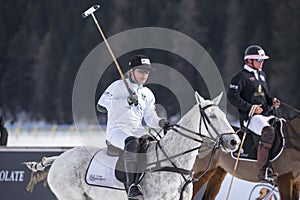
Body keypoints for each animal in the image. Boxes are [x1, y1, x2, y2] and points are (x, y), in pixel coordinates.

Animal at [24, 91, 240, 199]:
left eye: (222, 115)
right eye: (212, 116)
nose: (234, 141)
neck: (174, 162)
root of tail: (59, 157)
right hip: (71, 196)